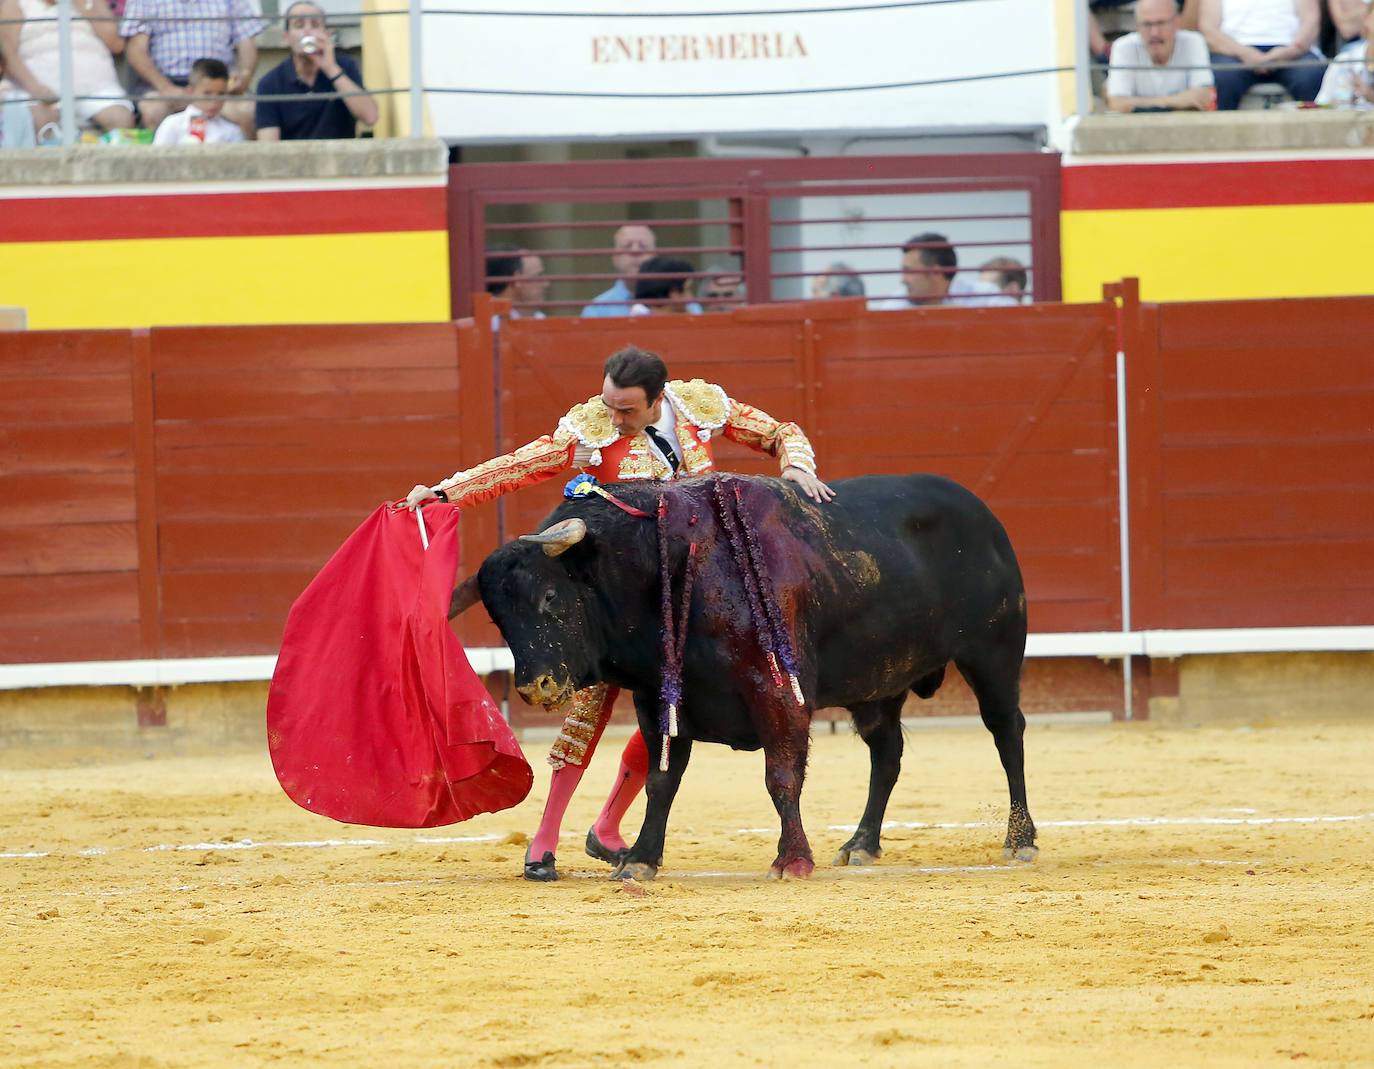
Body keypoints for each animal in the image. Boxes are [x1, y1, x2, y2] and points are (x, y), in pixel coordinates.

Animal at [456, 469, 1033, 879]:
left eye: (550, 596)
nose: (535, 687)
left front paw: (793, 860)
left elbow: (781, 776)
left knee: (1007, 733)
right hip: (879, 684)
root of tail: (983, 514)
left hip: (993, 654)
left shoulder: (780, 695)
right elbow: (661, 780)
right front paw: (640, 859)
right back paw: (861, 845)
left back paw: (1020, 840)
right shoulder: (659, 702)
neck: (666, 562)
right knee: (886, 753)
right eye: (497, 617)